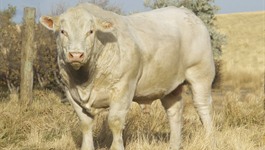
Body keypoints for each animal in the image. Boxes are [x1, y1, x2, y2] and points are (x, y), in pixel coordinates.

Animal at [39, 2, 214, 149]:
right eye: (63, 31)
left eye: (90, 31)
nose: (76, 54)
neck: (85, 80)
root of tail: (186, 12)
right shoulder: (70, 91)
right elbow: (85, 123)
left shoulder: (123, 87)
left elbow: (115, 121)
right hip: (170, 86)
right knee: (174, 112)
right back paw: (174, 145)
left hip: (201, 74)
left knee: (203, 107)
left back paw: (209, 140)